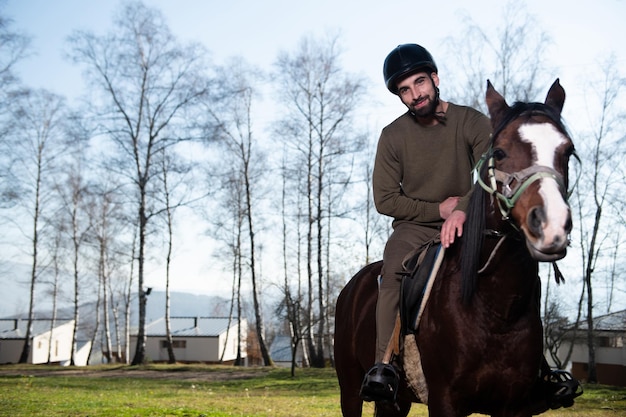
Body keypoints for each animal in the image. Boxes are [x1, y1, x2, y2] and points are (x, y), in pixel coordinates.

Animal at [334, 80, 572, 416]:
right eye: (499, 152)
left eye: (568, 150)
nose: (551, 226)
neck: (496, 307)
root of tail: (352, 287)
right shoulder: (444, 400)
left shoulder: (515, 405)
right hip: (350, 389)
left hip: (396, 401)